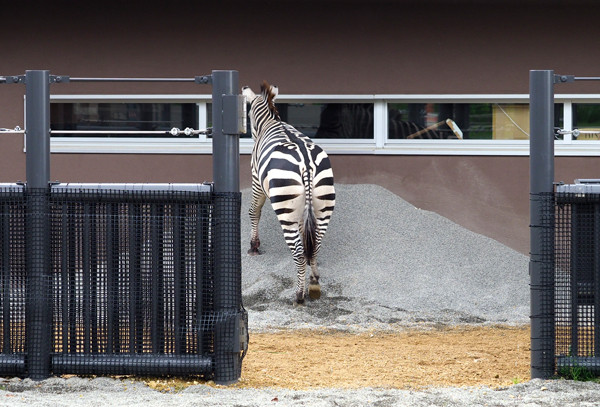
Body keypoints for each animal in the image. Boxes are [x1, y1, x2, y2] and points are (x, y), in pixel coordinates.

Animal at [241, 82, 336, 306]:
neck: (270, 122)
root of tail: (307, 163)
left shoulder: (256, 180)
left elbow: (253, 211)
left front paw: (254, 246)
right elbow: (305, 233)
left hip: (285, 208)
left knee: (300, 253)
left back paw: (299, 295)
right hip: (323, 204)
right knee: (314, 247)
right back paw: (314, 284)